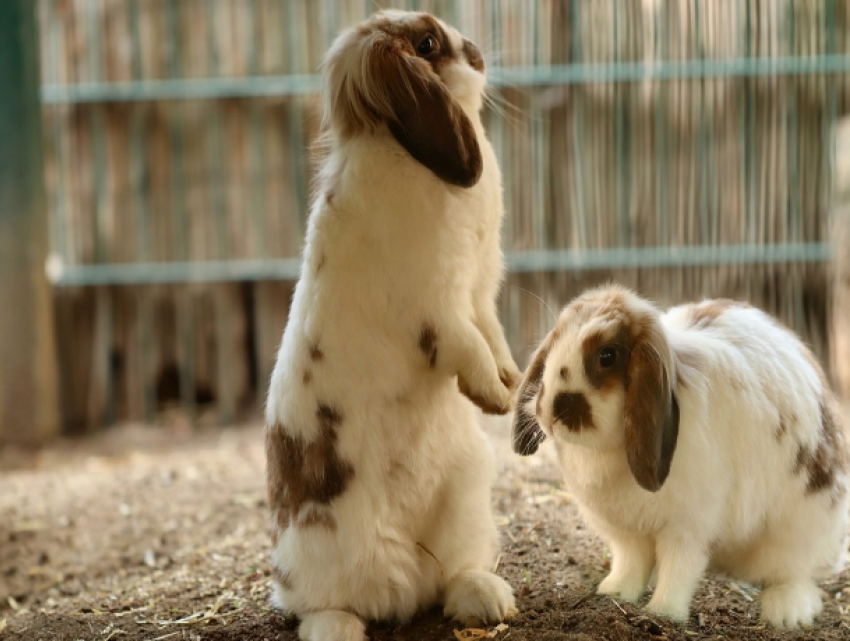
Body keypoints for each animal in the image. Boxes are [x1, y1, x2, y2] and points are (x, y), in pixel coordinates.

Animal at [264, 11, 516, 640]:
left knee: (447, 580)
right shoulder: (439, 306)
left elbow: (492, 334)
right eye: (427, 44)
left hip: (468, 501)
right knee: (314, 605)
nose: (477, 54)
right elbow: (466, 345)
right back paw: (340, 628)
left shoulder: (481, 290)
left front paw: (511, 382)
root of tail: (400, 587)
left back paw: (487, 597)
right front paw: (494, 397)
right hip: (312, 555)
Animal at [510, 284, 848, 624]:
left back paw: (786, 613)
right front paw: (614, 593)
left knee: (795, 574)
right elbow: (631, 562)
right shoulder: (626, 533)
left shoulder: (688, 528)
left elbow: (679, 569)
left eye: (607, 356)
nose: (552, 411)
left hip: (799, 530)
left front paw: (663, 612)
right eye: (555, 341)